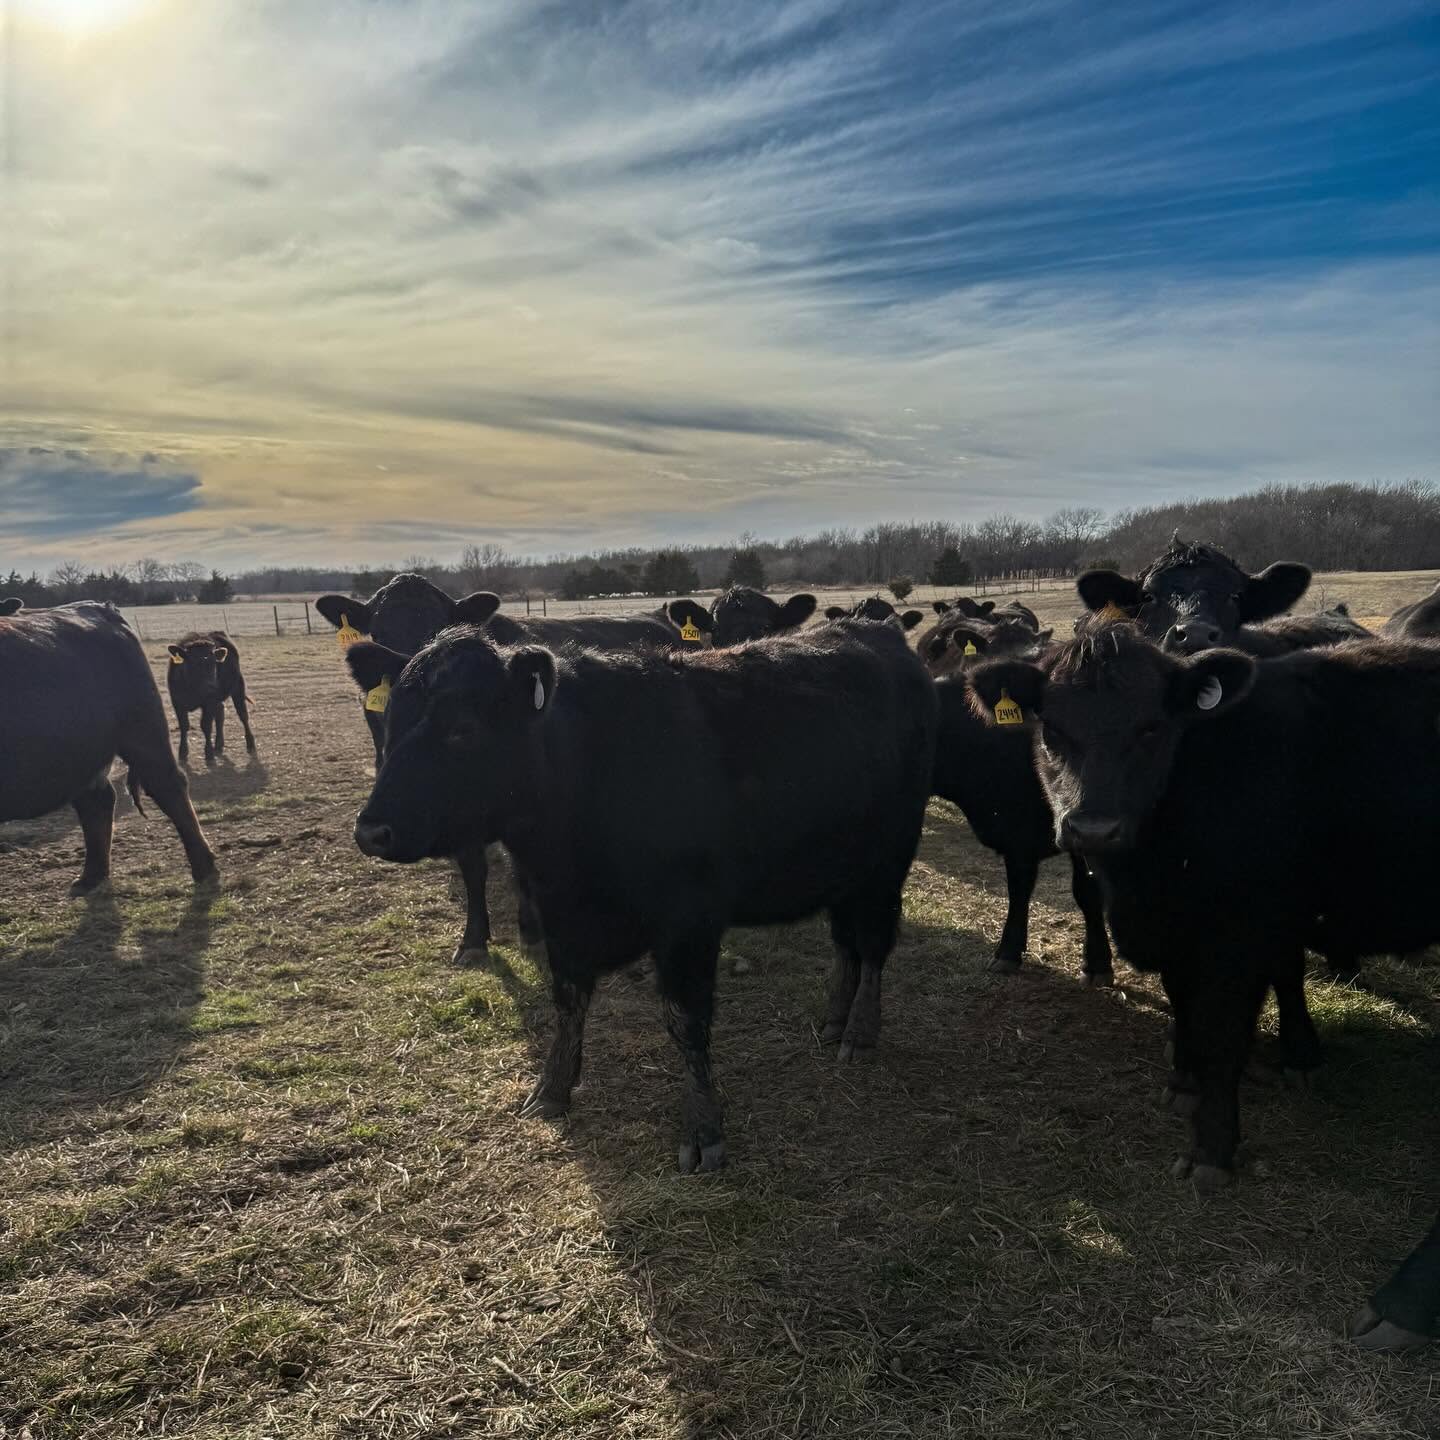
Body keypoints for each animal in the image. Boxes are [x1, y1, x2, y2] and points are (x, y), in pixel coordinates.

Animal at [0, 602, 217, 892]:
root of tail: (98, 608)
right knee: (97, 801)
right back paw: (91, 876)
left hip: (142, 733)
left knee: (168, 785)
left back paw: (204, 866)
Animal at [165, 631, 257, 766]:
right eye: (192, 663)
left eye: (214, 663)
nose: (212, 686)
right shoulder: (177, 702)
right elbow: (184, 725)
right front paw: (183, 752)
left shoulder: (209, 703)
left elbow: (206, 726)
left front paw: (208, 753)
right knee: (220, 714)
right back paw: (218, 745)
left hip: (238, 687)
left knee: (243, 715)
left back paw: (250, 743)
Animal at [346, 618, 938, 1170]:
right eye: (390, 722)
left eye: (462, 729)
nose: (372, 831)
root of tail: (875, 630)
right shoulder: (561, 919)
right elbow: (567, 1004)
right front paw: (552, 1090)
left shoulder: (689, 923)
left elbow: (686, 1019)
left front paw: (702, 1128)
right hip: (843, 869)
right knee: (846, 944)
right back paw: (834, 1018)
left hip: (888, 861)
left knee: (873, 945)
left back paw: (859, 1031)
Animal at [967, 626, 1440, 1214]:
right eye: (1051, 728)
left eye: (1152, 726)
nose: (1093, 829)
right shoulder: (1181, 934)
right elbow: (1182, 1004)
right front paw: (1184, 1083)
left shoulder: (1236, 941)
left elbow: (1222, 1035)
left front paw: (1213, 1148)